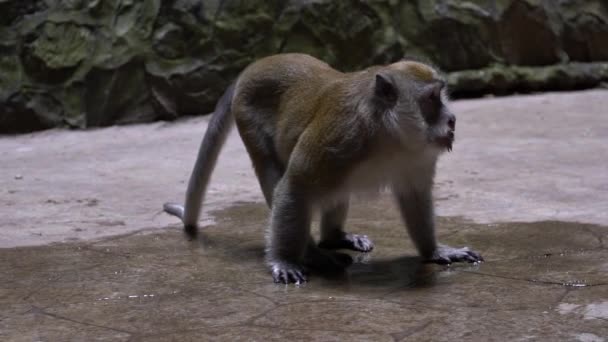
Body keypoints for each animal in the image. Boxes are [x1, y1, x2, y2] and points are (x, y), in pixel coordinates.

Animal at [163, 52, 484, 284]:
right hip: (247, 116)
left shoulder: (417, 156)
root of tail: (255, 65)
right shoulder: (339, 136)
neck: (387, 135)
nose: (452, 120)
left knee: (336, 190)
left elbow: (415, 195)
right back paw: (312, 253)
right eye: (431, 100)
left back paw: (334, 238)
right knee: (276, 176)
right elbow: (294, 186)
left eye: (441, 96)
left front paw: (434, 251)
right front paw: (285, 260)